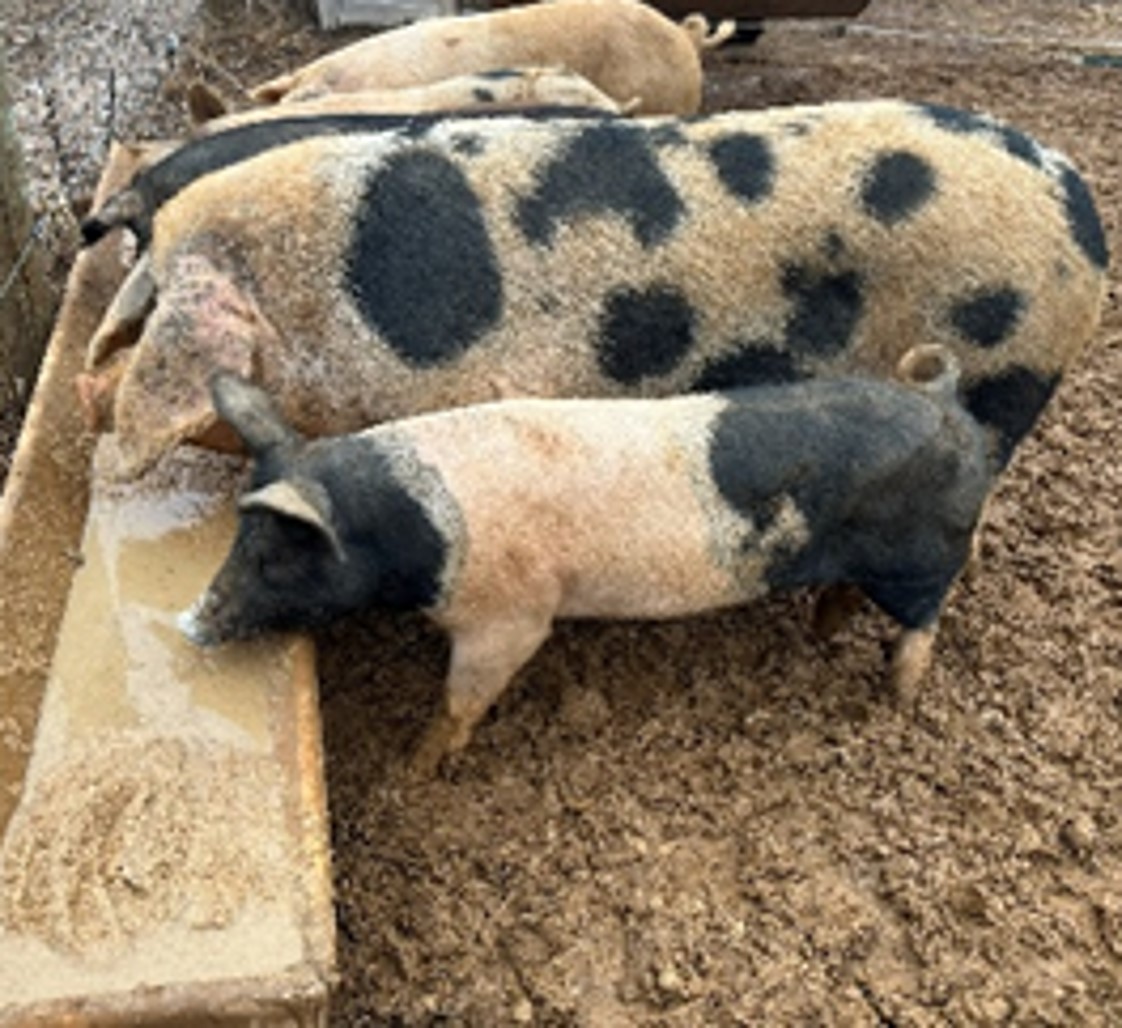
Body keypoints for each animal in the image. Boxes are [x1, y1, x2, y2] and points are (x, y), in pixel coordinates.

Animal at [179, 344, 992, 771]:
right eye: (237, 540)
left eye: (273, 557)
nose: (191, 622)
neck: (414, 531)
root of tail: (948, 402)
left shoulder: (511, 618)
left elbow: (462, 699)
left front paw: (417, 764)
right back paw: (826, 632)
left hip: (923, 559)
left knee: (926, 618)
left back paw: (895, 696)